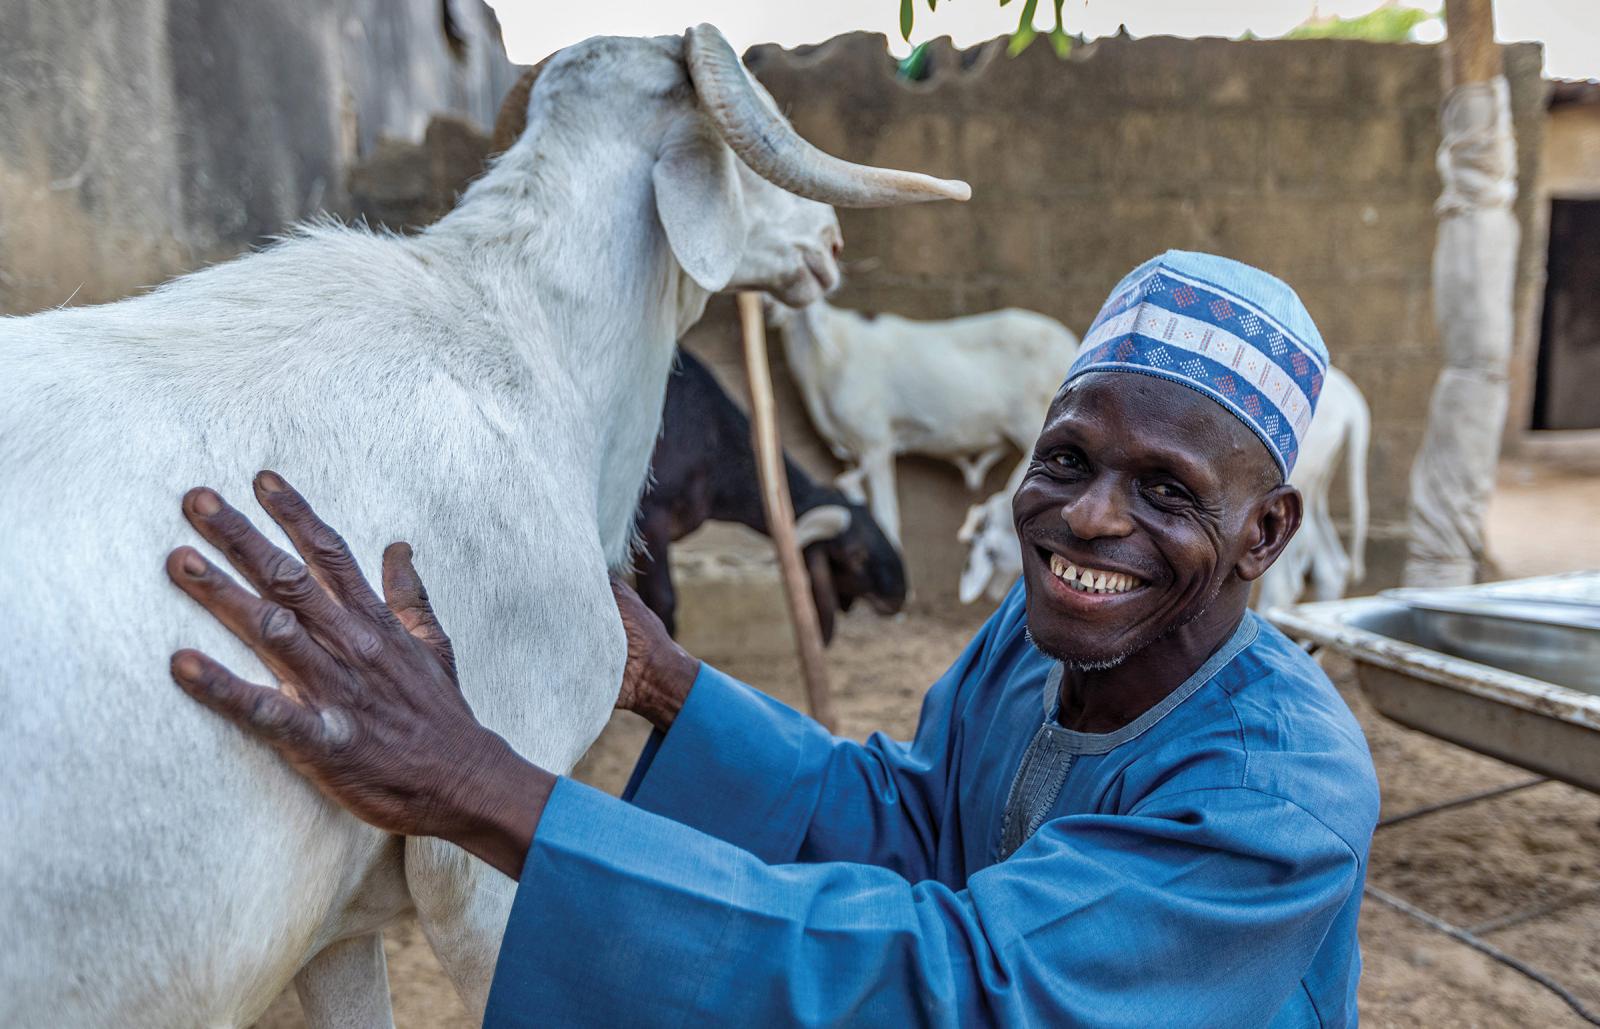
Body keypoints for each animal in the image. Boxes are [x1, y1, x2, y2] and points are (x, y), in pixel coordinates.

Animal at [636, 353, 915, 643]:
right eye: (855, 555)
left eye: (880, 532)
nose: (898, 596)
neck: (711, 443)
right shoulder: (651, 520)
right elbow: (662, 601)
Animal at [768, 299, 1081, 547]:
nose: (772, 311)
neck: (828, 359)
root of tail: (1070, 343)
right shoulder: (850, 454)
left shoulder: (876, 443)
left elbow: (886, 517)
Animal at [953, 366, 1369, 608]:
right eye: (1068, 460)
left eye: (984, 550)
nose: (969, 594)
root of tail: (1352, 405)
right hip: (1316, 488)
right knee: (1332, 566)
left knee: (1287, 584)